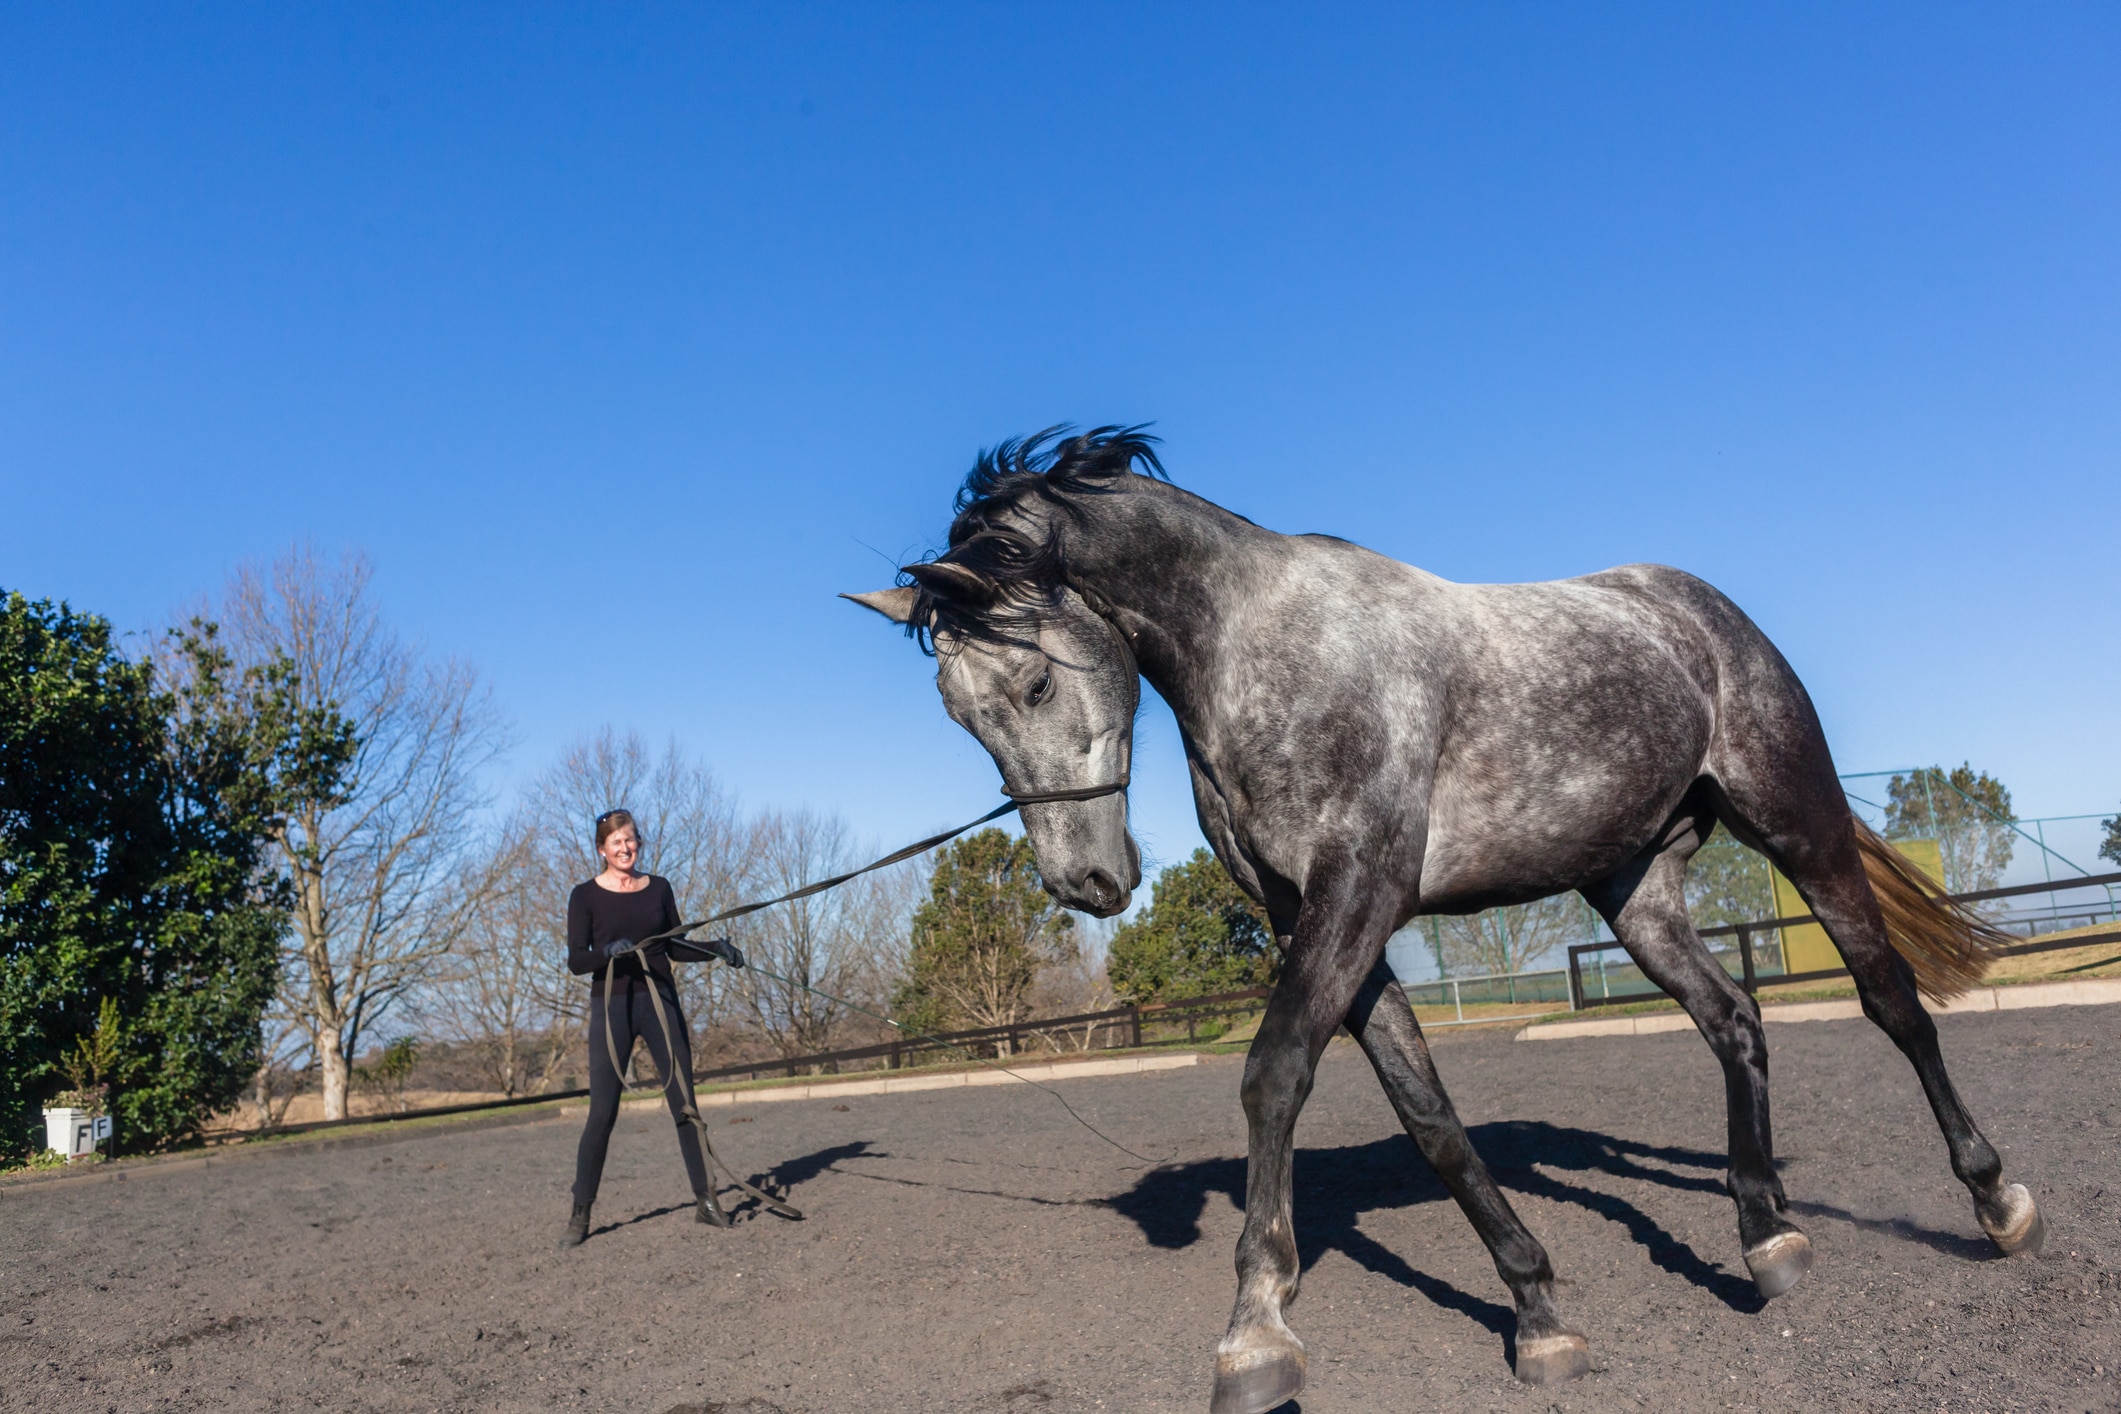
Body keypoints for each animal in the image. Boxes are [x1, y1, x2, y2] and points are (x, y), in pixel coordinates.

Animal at [839, 426, 2036, 1414]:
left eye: (1036, 684)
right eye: (961, 714)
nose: (1086, 882)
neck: (1264, 651)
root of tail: (1702, 611)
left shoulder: (1358, 893)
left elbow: (1273, 1075)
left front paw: (1256, 1332)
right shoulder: (1320, 921)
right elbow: (1429, 1116)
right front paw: (1538, 1310)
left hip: (1798, 824)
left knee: (1889, 999)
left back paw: (1993, 1200)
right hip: (1636, 892)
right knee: (1733, 1019)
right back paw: (1765, 1232)